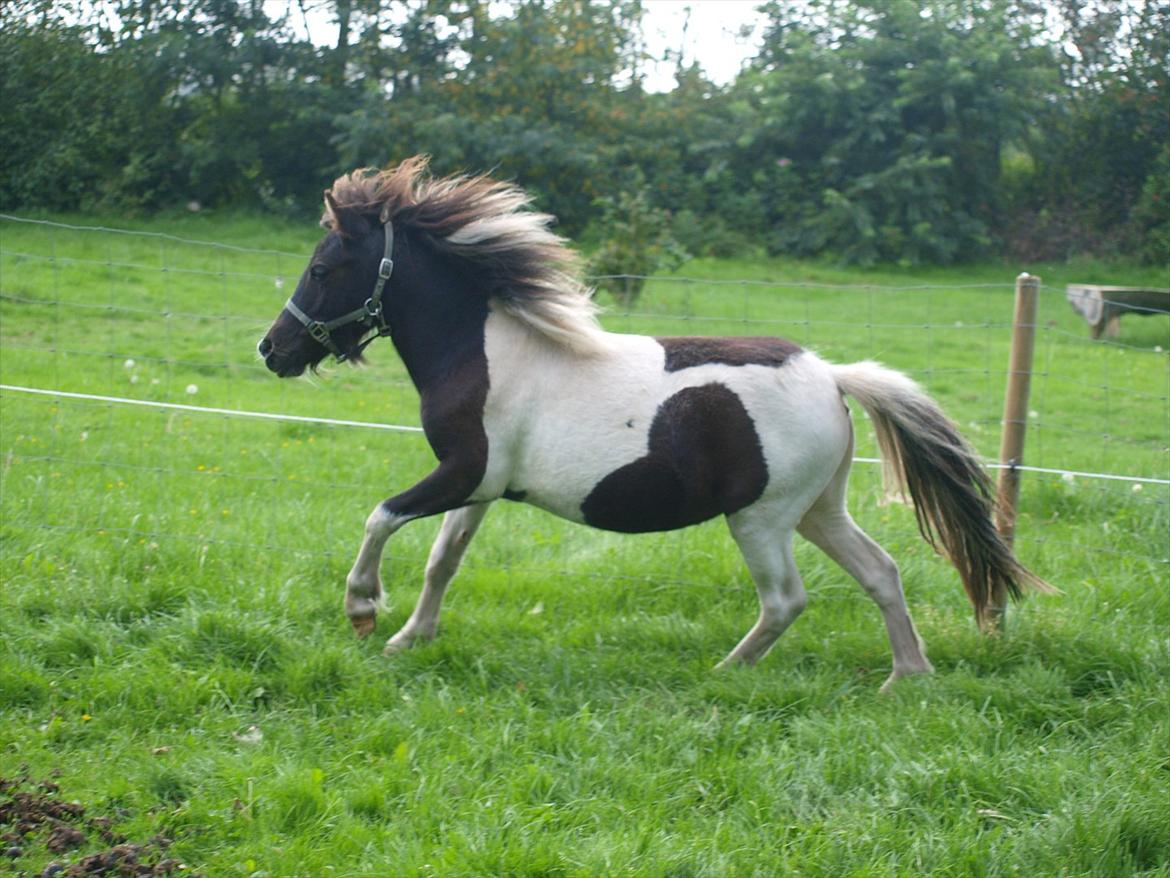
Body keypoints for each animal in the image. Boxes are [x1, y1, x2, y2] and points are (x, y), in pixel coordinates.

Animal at [258, 158, 1053, 693]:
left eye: (324, 268)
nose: (274, 350)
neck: (482, 350)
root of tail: (833, 376)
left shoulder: (463, 472)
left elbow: (381, 517)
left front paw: (363, 610)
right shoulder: (480, 487)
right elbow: (441, 560)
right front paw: (409, 638)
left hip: (760, 519)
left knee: (786, 600)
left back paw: (725, 671)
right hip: (818, 511)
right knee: (881, 573)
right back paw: (907, 677)